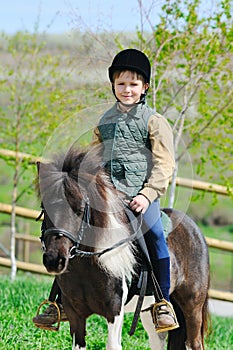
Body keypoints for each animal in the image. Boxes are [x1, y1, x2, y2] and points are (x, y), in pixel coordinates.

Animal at [37, 146, 210, 348]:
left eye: (80, 209)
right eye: (45, 208)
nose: (54, 260)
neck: (88, 265)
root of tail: (194, 229)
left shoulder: (114, 313)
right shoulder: (75, 314)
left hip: (192, 308)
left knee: (194, 342)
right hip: (149, 312)